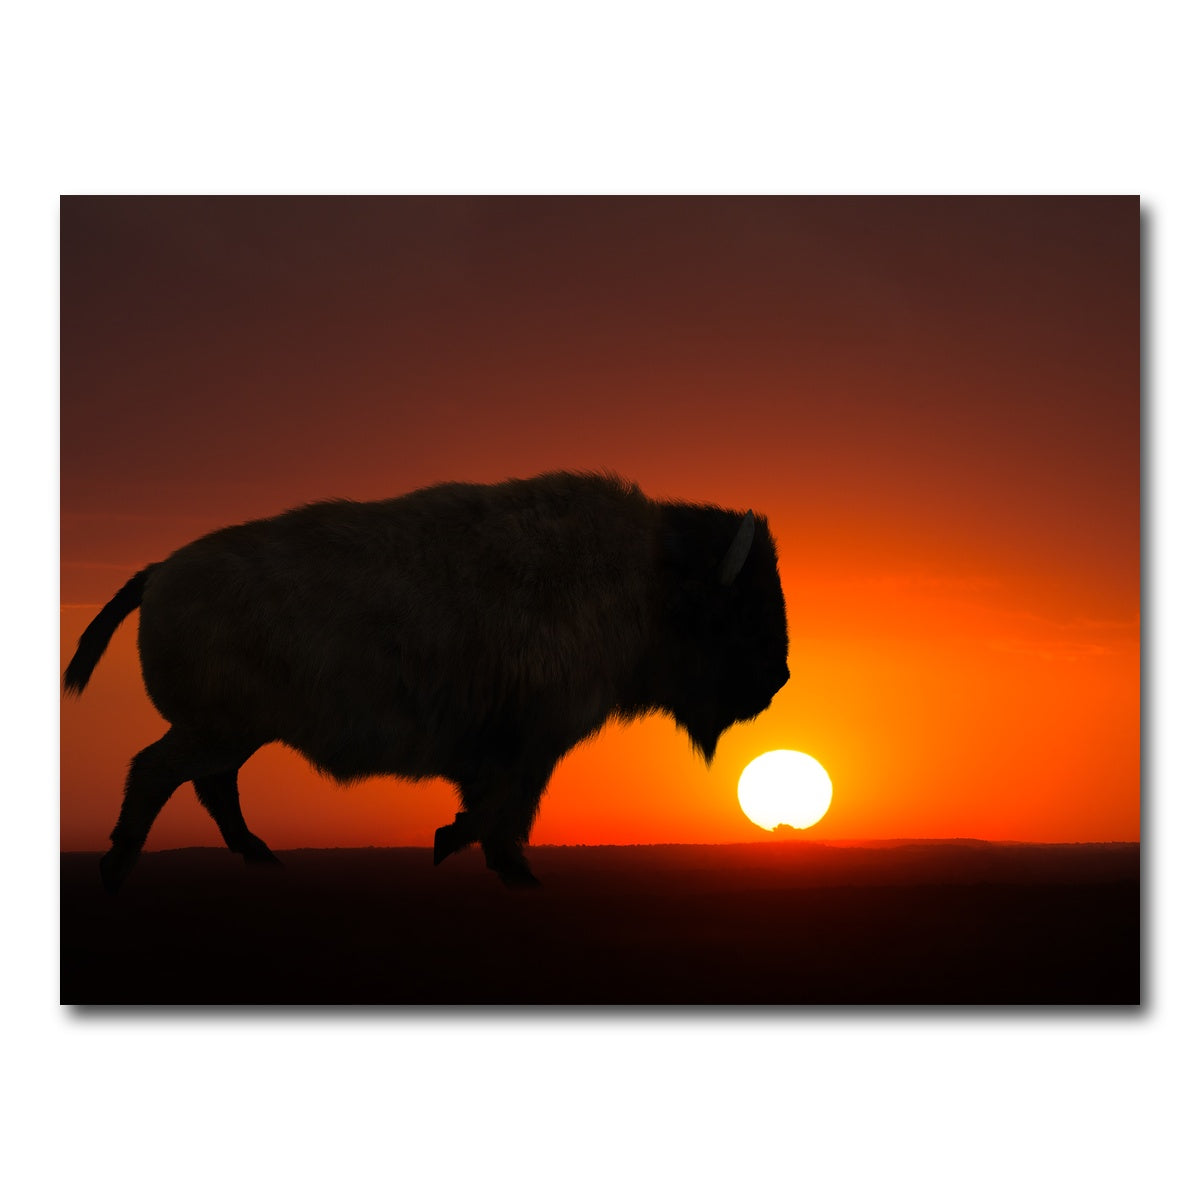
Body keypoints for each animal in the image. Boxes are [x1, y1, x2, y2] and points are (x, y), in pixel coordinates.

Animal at [64, 471, 790, 890]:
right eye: (743, 611)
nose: (780, 677)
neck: (647, 577)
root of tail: (159, 571)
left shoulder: (514, 747)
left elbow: (501, 805)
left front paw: (481, 856)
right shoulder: (529, 740)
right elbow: (504, 806)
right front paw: (499, 865)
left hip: (232, 733)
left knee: (207, 784)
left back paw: (259, 856)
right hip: (216, 729)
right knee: (156, 771)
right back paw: (118, 865)